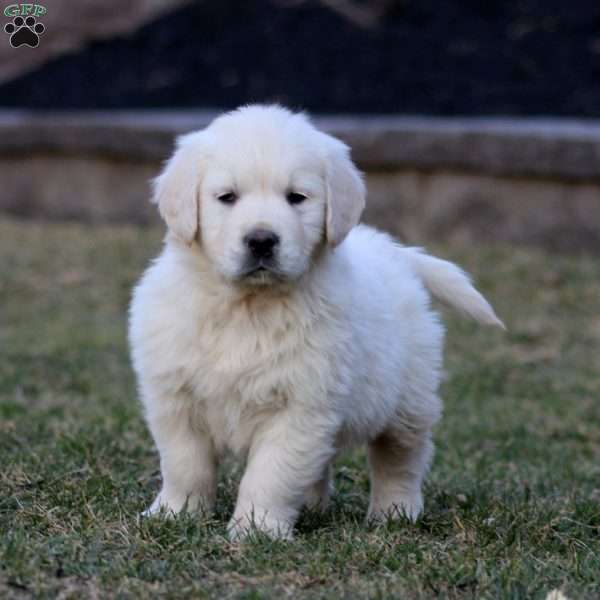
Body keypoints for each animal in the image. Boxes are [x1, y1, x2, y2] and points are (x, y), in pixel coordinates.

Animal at [129, 103, 504, 540]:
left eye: (296, 198)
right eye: (227, 197)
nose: (262, 240)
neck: (249, 307)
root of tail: (393, 252)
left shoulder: (301, 405)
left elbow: (270, 474)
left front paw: (256, 528)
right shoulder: (175, 398)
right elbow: (184, 464)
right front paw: (175, 514)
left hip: (408, 399)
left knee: (400, 458)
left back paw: (395, 511)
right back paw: (312, 505)